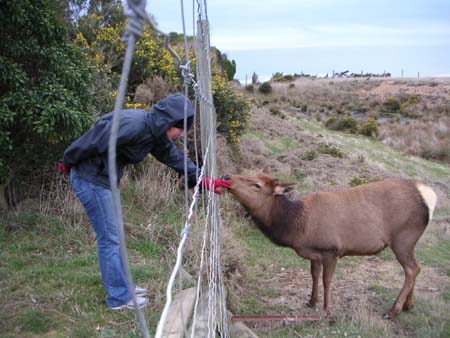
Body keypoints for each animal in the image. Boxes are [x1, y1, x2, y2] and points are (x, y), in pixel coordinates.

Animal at [225, 168, 436, 318]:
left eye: (257, 185)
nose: (227, 176)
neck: (298, 227)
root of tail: (429, 197)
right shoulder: (315, 253)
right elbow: (314, 275)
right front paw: (311, 301)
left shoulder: (331, 250)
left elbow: (327, 280)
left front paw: (327, 310)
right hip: (410, 241)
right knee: (416, 267)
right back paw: (409, 305)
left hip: (403, 237)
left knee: (412, 269)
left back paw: (393, 311)